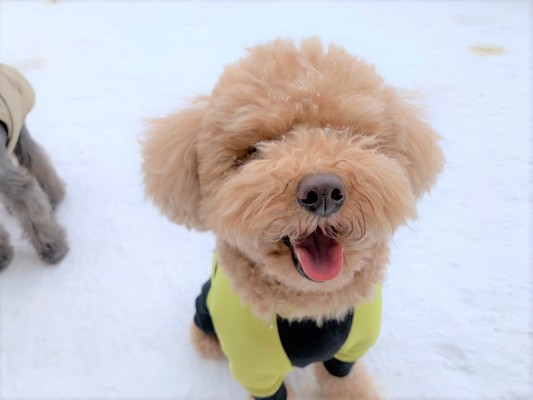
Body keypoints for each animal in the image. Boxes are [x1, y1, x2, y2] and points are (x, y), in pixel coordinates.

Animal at [0, 64, 68, 270]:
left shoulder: (9, 179)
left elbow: (32, 208)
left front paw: (53, 247)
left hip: (18, 132)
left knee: (35, 159)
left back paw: (52, 196)